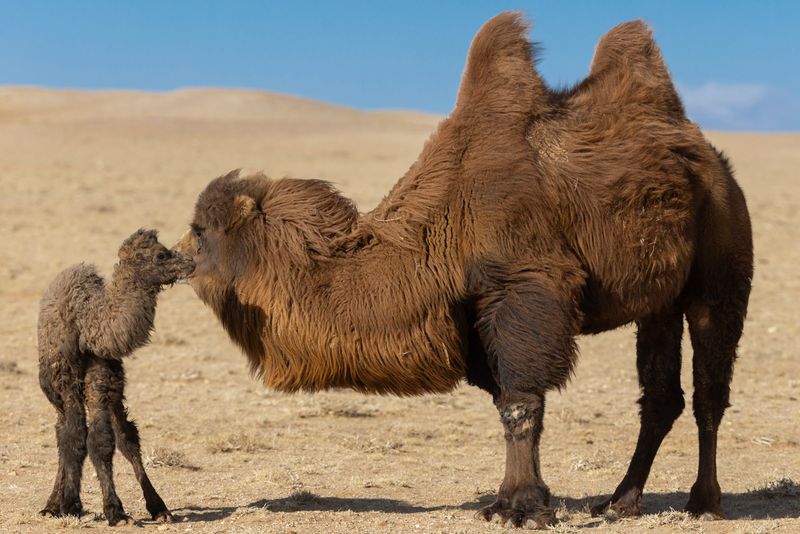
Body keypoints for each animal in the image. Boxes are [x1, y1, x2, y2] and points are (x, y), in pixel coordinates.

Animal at [38, 230, 194, 528]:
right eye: (160, 255)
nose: (190, 263)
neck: (90, 327)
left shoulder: (102, 380)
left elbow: (102, 441)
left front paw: (115, 511)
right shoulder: (67, 383)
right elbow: (75, 438)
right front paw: (72, 505)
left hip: (112, 392)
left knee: (126, 437)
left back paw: (158, 508)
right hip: (56, 393)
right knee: (64, 433)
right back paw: (52, 505)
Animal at [173, 12, 752, 532]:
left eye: (200, 230)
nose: (173, 255)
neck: (439, 229)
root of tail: (711, 159)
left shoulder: (524, 290)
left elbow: (520, 405)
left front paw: (521, 509)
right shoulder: (474, 315)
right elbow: (506, 403)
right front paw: (512, 501)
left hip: (722, 262)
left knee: (709, 389)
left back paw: (704, 502)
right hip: (658, 302)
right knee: (660, 395)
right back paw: (620, 501)